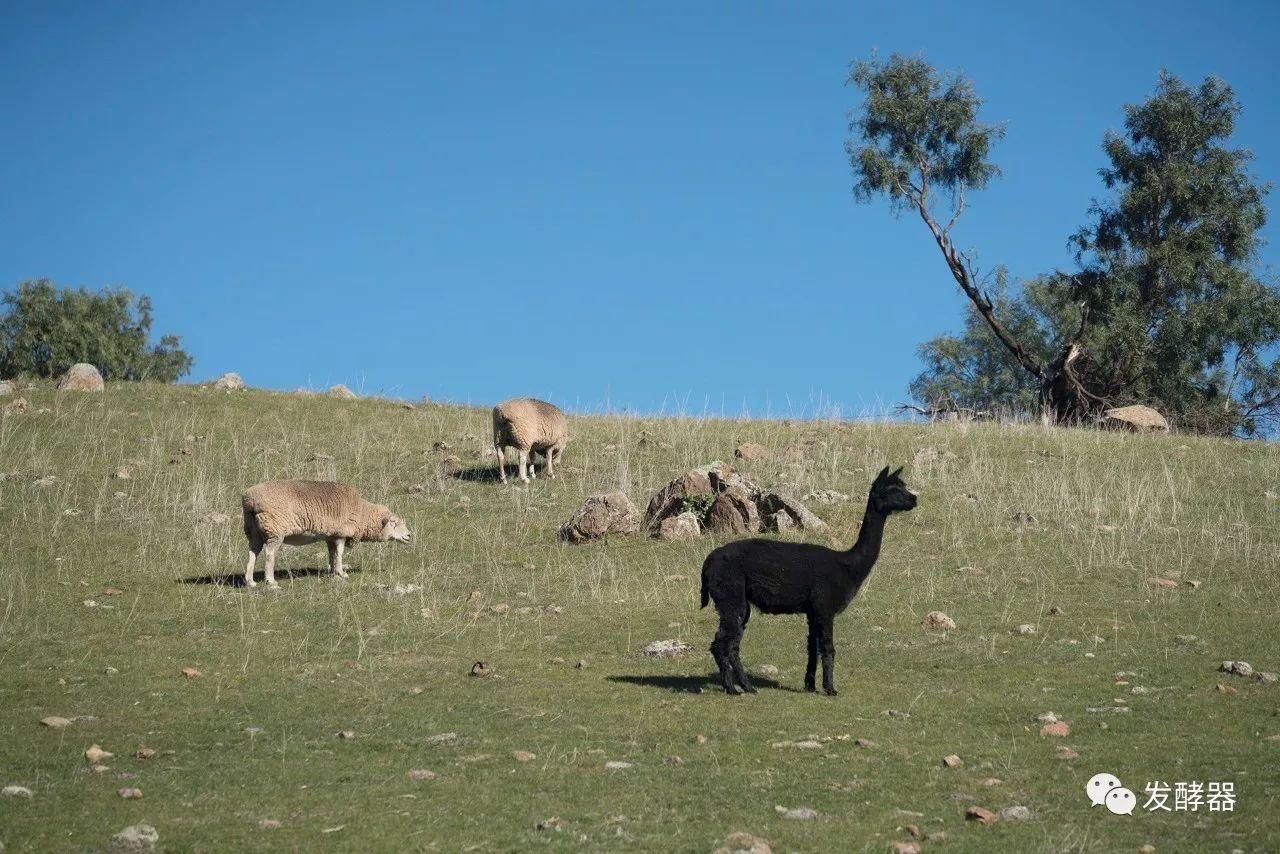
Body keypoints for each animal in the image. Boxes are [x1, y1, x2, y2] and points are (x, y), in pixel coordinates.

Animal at [241, 481, 412, 588]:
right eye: (394, 523)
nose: (409, 536)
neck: (361, 512)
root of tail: (250, 499)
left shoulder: (331, 535)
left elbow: (332, 553)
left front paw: (332, 571)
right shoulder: (341, 533)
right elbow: (340, 553)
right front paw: (342, 573)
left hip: (253, 531)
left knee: (252, 553)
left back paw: (250, 581)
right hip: (274, 529)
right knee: (269, 554)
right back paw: (271, 581)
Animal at [701, 468, 921, 696]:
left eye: (903, 486)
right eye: (892, 489)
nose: (914, 499)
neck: (848, 566)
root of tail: (708, 562)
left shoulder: (813, 610)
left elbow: (812, 648)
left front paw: (810, 685)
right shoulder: (825, 607)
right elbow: (828, 648)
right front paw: (830, 689)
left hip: (740, 602)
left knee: (733, 643)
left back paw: (747, 686)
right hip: (729, 593)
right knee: (721, 643)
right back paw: (731, 688)